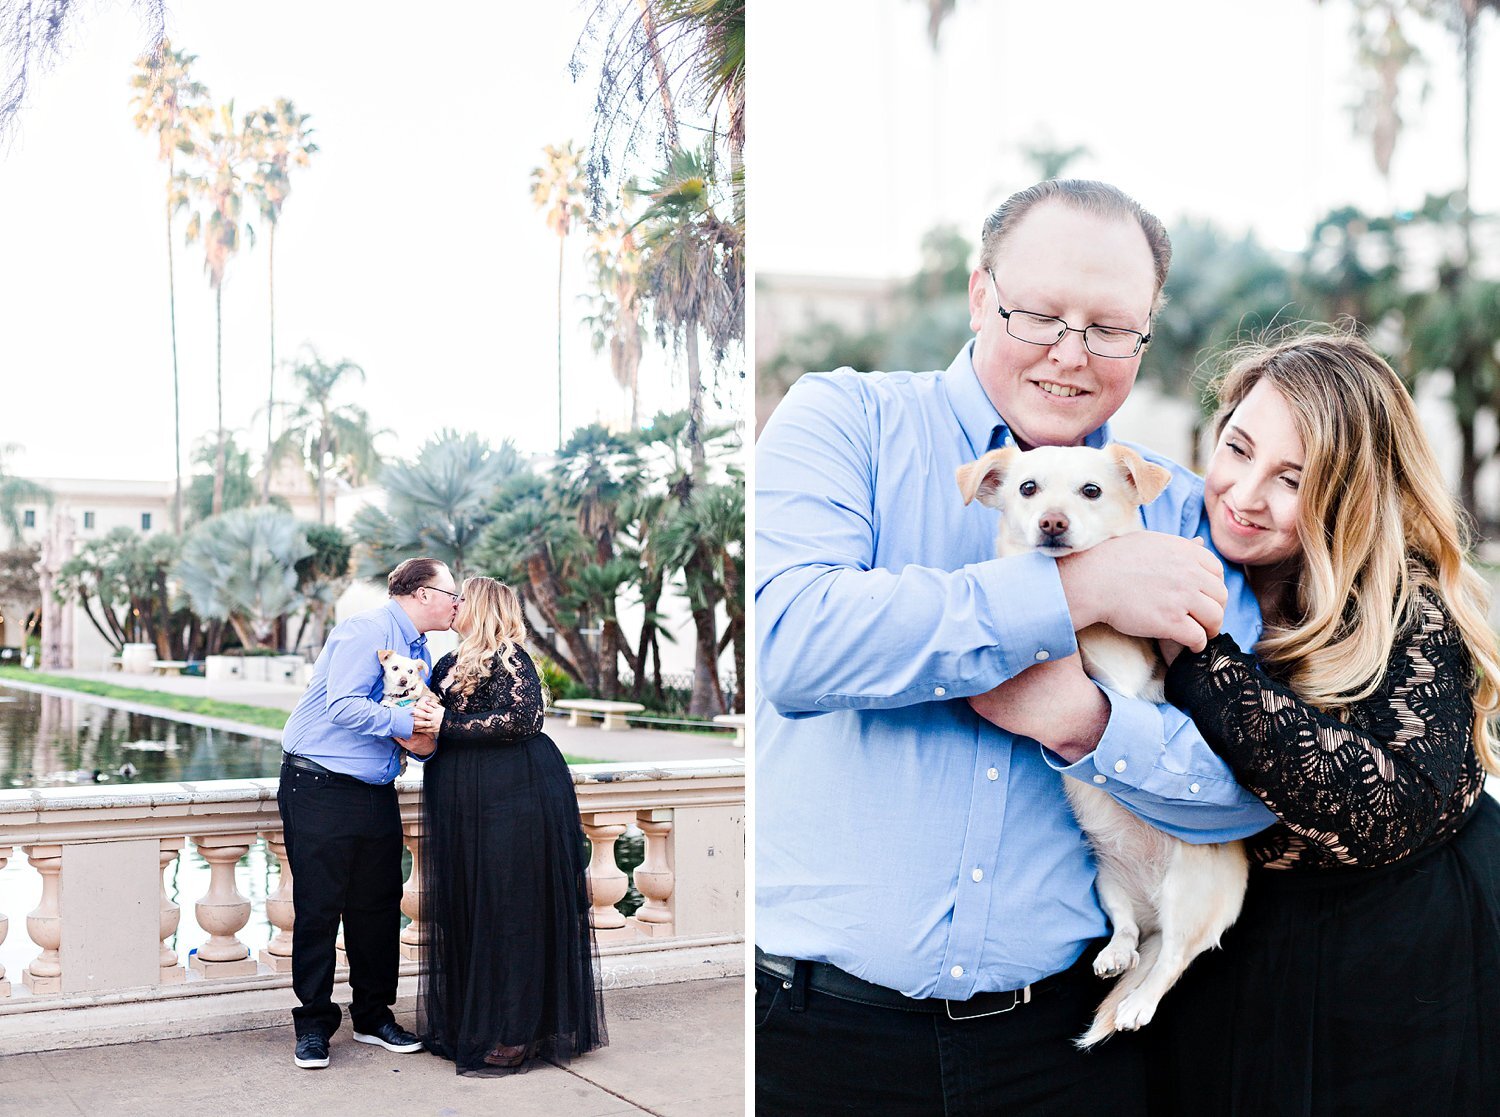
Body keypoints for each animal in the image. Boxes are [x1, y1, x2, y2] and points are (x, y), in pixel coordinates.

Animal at [960, 440, 1242, 1043]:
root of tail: (1154, 903)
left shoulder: (1120, 672)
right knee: (1130, 930)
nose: (1051, 523)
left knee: (1172, 959)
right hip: (1106, 881)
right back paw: (1116, 953)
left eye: (1091, 491)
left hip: (1186, 892)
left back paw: (1139, 1004)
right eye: (1028, 488)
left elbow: (1084, 643)